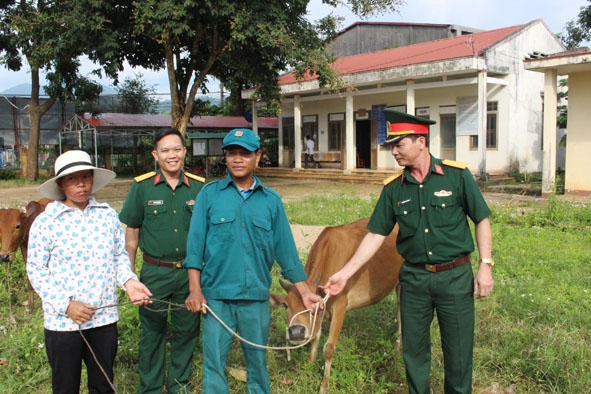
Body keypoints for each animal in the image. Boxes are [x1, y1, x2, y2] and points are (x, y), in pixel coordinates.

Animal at [270, 219, 404, 394]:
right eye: (285, 305)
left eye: (312, 304)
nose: (296, 332)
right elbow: (315, 336)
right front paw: (310, 363)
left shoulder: (340, 306)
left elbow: (328, 348)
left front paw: (324, 386)